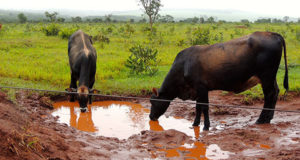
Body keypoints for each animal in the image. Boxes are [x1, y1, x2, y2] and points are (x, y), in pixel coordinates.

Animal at [149, 31, 288, 131]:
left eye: (153, 101)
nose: (150, 116)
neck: (184, 66)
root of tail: (272, 33)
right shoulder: (198, 90)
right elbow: (198, 107)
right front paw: (195, 124)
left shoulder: (202, 88)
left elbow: (204, 107)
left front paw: (206, 126)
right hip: (271, 78)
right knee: (275, 92)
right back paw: (268, 118)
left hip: (266, 77)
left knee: (269, 95)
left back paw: (261, 119)